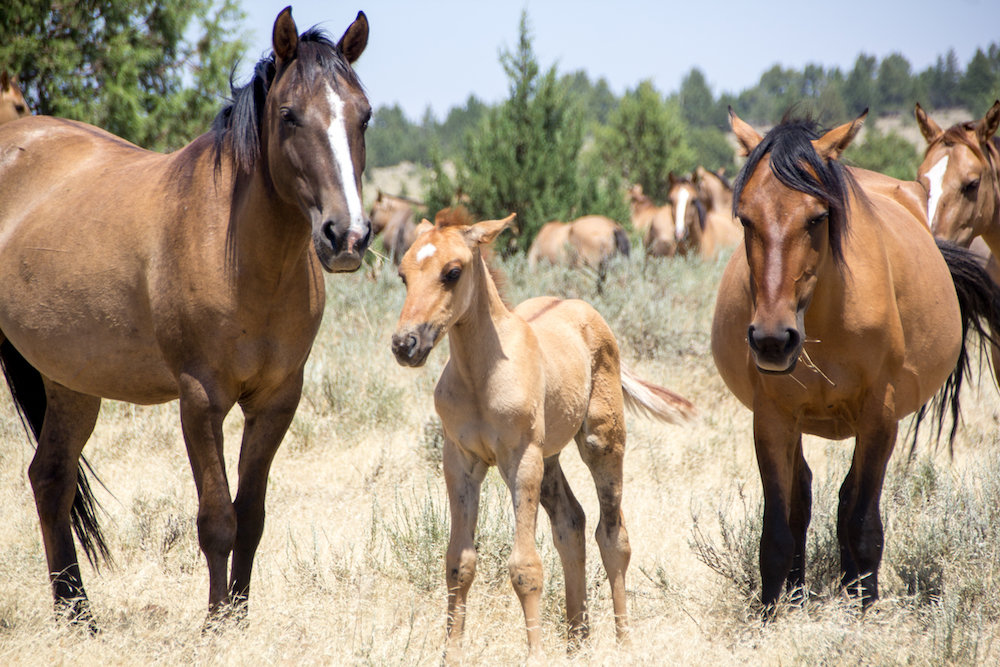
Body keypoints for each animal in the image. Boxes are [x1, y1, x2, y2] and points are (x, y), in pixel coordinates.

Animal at [0, 7, 371, 627]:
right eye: (289, 116)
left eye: (364, 115)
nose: (346, 236)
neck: (242, 256)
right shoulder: (200, 399)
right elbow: (217, 519)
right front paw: (217, 623)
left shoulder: (277, 400)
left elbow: (251, 517)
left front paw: (239, 618)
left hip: (70, 381)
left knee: (50, 479)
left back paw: (78, 615)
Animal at [391, 212, 694, 662]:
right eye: (403, 274)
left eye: (452, 272)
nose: (405, 344)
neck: (481, 376)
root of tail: (584, 309)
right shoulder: (459, 461)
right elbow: (458, 563)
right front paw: (451, 654)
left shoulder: (521, 460)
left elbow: (525, 567)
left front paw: (534, 655)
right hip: (550, 460)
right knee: (572, 523)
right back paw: (577, 638)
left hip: (601, 444)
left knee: (613, 535)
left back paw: (623, 642)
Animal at [711, 109, 1000, 612]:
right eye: (745, 219)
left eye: (818, 217)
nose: (772, 340)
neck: (825, 317)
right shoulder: (771, 419)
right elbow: (777, 531)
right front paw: (775, 611)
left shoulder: (879, 419)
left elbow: (863, 523)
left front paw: (864, 607)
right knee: (804, 499)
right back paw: (800, 592)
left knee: (848, 501)